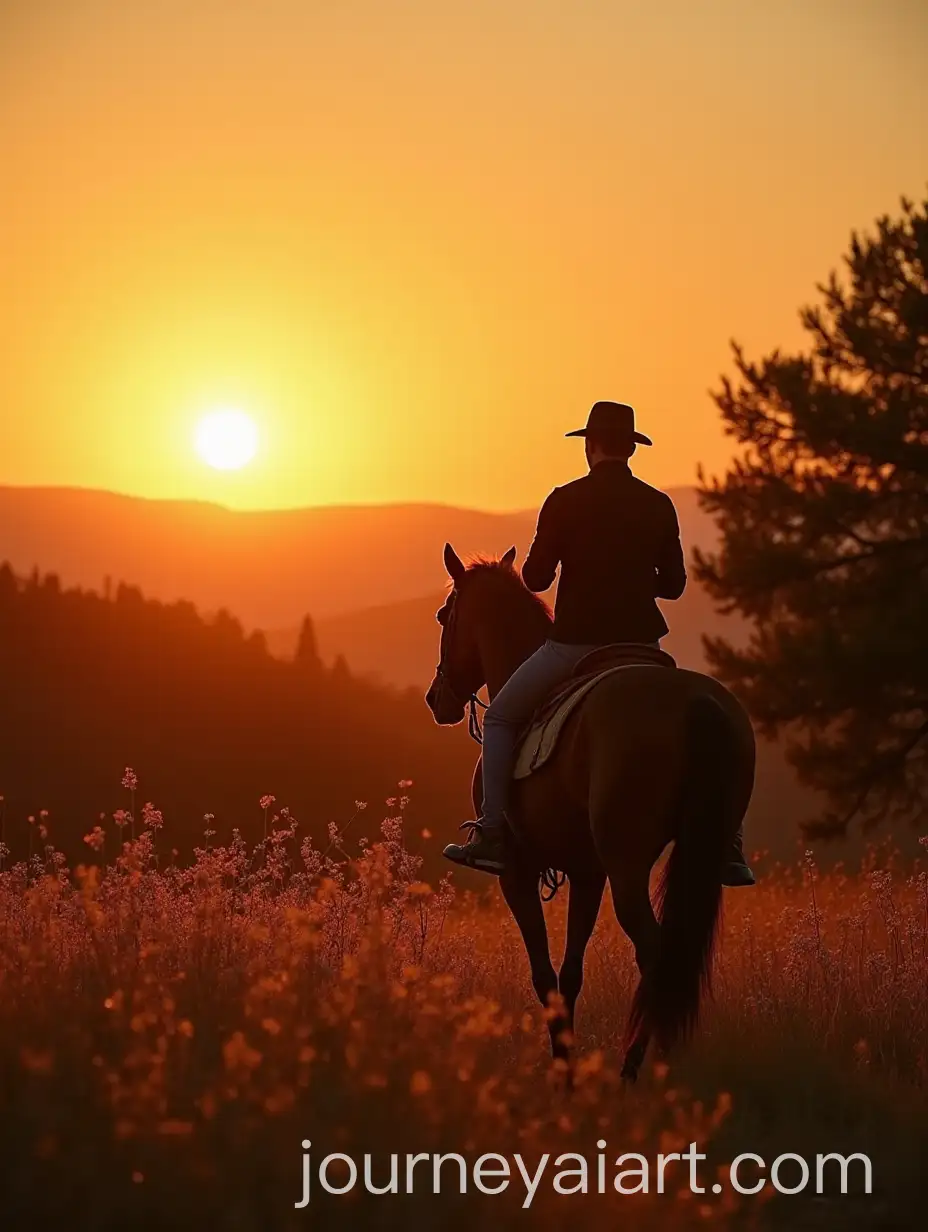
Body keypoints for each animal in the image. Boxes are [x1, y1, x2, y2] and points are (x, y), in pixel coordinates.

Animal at [425, 543, 755, 1082]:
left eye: (442, 615)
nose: (437, 699)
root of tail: (698, 702)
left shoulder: (517, 874)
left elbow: (544, 975)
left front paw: (564, 1077)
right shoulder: (586, 872)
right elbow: (571, 974)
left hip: (627, 867)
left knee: (658, 958)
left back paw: (638, 1073)